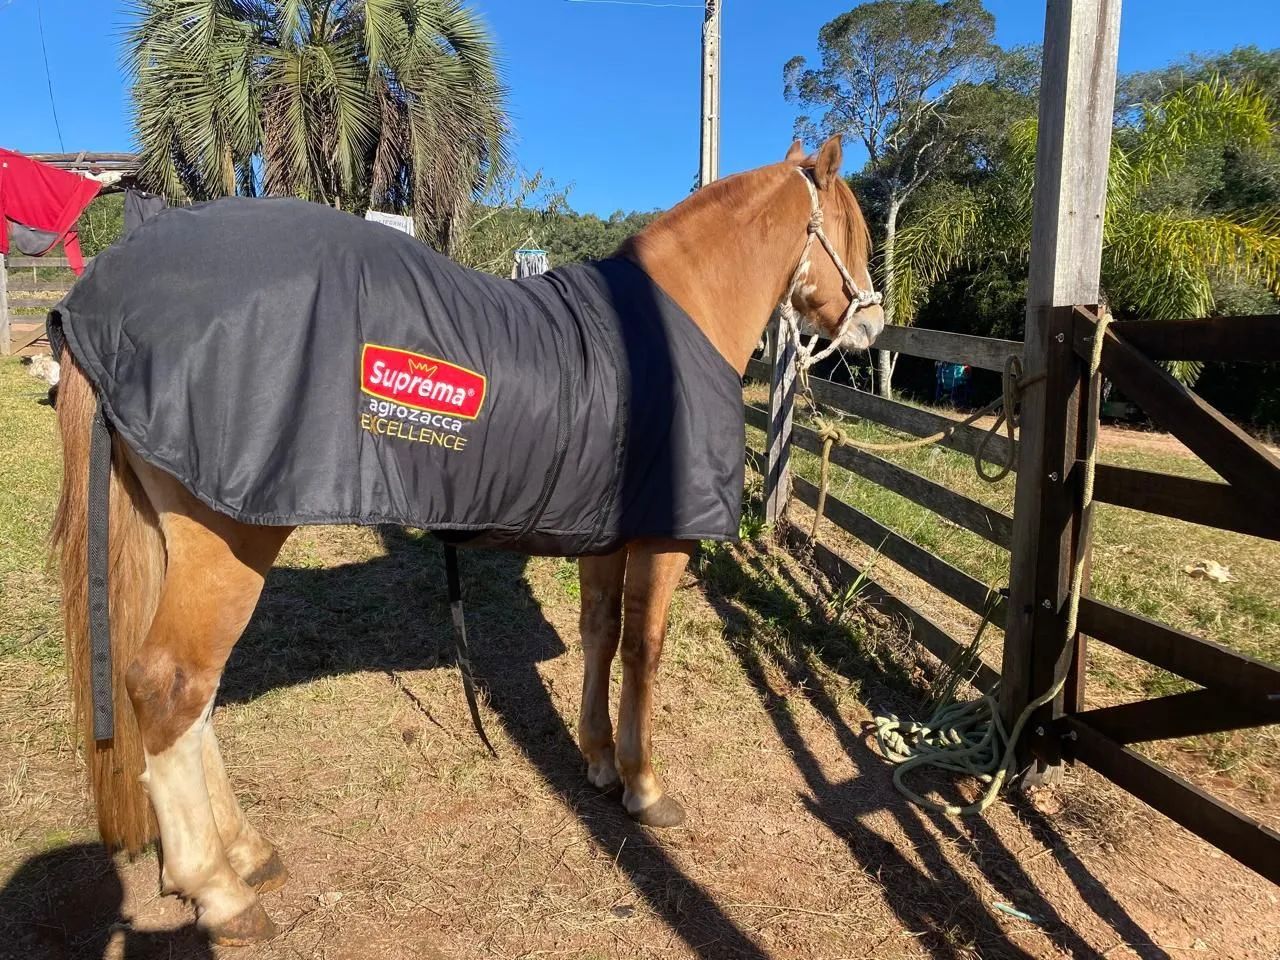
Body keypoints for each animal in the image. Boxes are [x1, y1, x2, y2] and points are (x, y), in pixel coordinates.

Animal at [50, 135, 884, 945]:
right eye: (855, 231)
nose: (872, 327)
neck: (666, 326)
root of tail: (106, 295)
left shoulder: (604, 539)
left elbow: (599, 636)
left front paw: (598, 763)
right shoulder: (662, 540)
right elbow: (642, 653)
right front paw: (645, 786)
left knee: (197, 700)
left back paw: (248, 853)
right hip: (231, 538)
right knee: (172, 687)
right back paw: (220, 892)